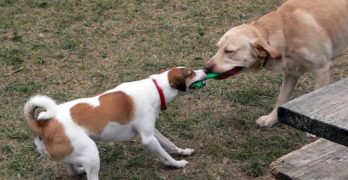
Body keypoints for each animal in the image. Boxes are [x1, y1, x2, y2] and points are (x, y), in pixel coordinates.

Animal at [23, 67, 207, 180]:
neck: (157, 88)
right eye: (191, 73)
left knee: (71, 169)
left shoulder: (152, 131)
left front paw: (183, 152)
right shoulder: (148, 139)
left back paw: (80, 169)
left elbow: (170, 144)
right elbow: (165, 155)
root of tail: (43, 125)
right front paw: (177, 164)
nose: (205, 70)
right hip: (91, 151)